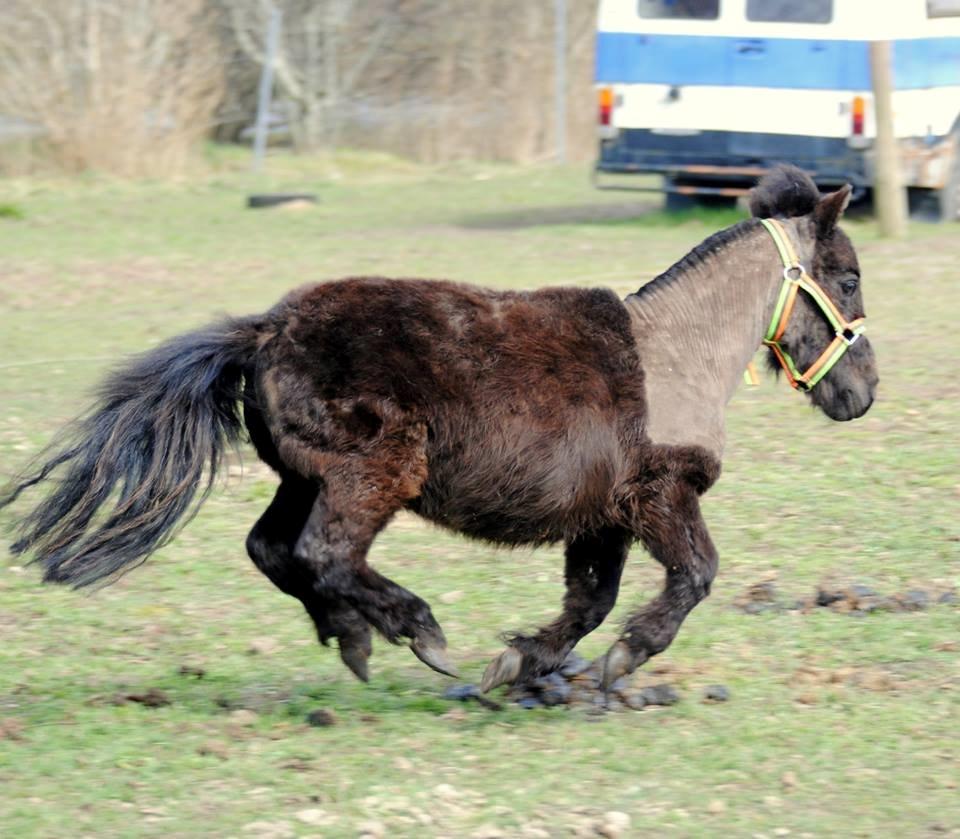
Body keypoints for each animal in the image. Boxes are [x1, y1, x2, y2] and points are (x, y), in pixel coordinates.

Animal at [0, 166, 876, 696]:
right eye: (848, 278)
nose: (863, 393)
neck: (673, 355)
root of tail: (266, 328)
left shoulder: (602, 517)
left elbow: (590, 601)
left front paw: (523, 661)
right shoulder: (660, 495)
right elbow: (693, 575)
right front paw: (616, 660)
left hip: (306, 475)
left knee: (274, 549)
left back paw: (353, 637)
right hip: (372, 471)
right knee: (323, 553)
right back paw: (417, 632)